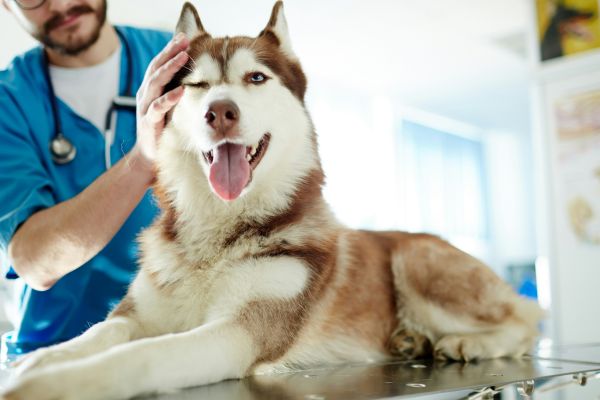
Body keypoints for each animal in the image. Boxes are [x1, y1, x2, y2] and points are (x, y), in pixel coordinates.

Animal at [1, 3, 544, 400]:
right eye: (196, 85)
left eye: (256, 78)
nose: (220, 111)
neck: (217, 235)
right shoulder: (135, 315)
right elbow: (88, 338)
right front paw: (29, 364)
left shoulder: (239, 332)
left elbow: (140, 356)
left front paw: (52, 384)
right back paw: (411, 338)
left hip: (417, 259)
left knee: (526, 318)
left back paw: (465, 341)